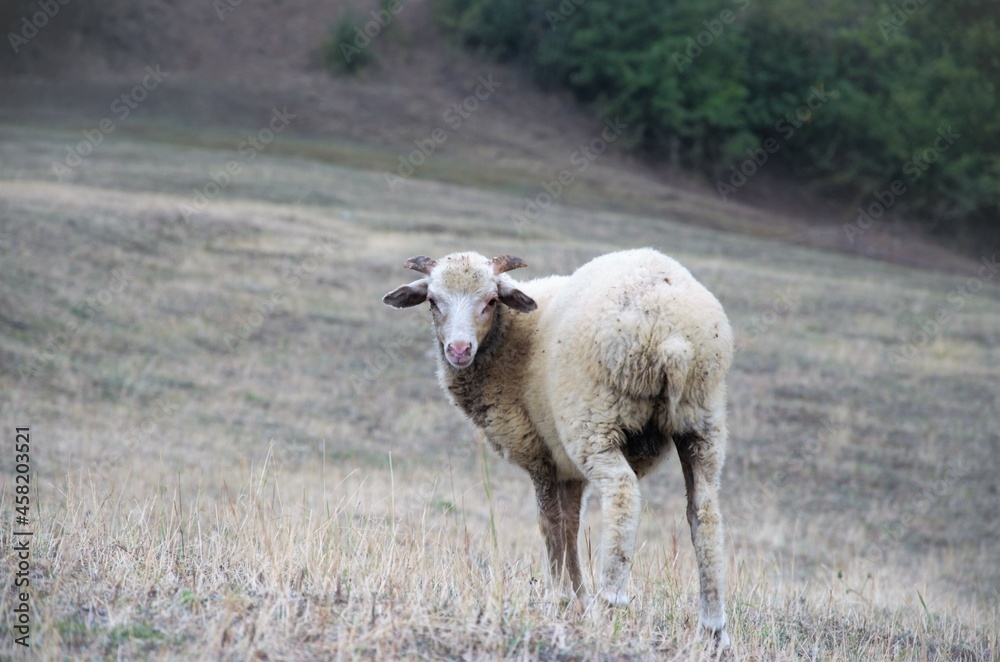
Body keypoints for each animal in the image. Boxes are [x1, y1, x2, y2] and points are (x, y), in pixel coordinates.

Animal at [382, 248, 733, 648]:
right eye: (432, 301)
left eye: (490, 301)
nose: (458, 349)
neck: (511, 339)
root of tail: (672, 337)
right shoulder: (568, 470)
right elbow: (570, 525)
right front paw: (577, 600)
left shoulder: (539, 454)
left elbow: (550, 523)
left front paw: (562, 599)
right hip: (701, 421)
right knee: (704, 513)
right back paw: (714, 629)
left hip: (595, 420)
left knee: (623, 494)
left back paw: (611, 605)